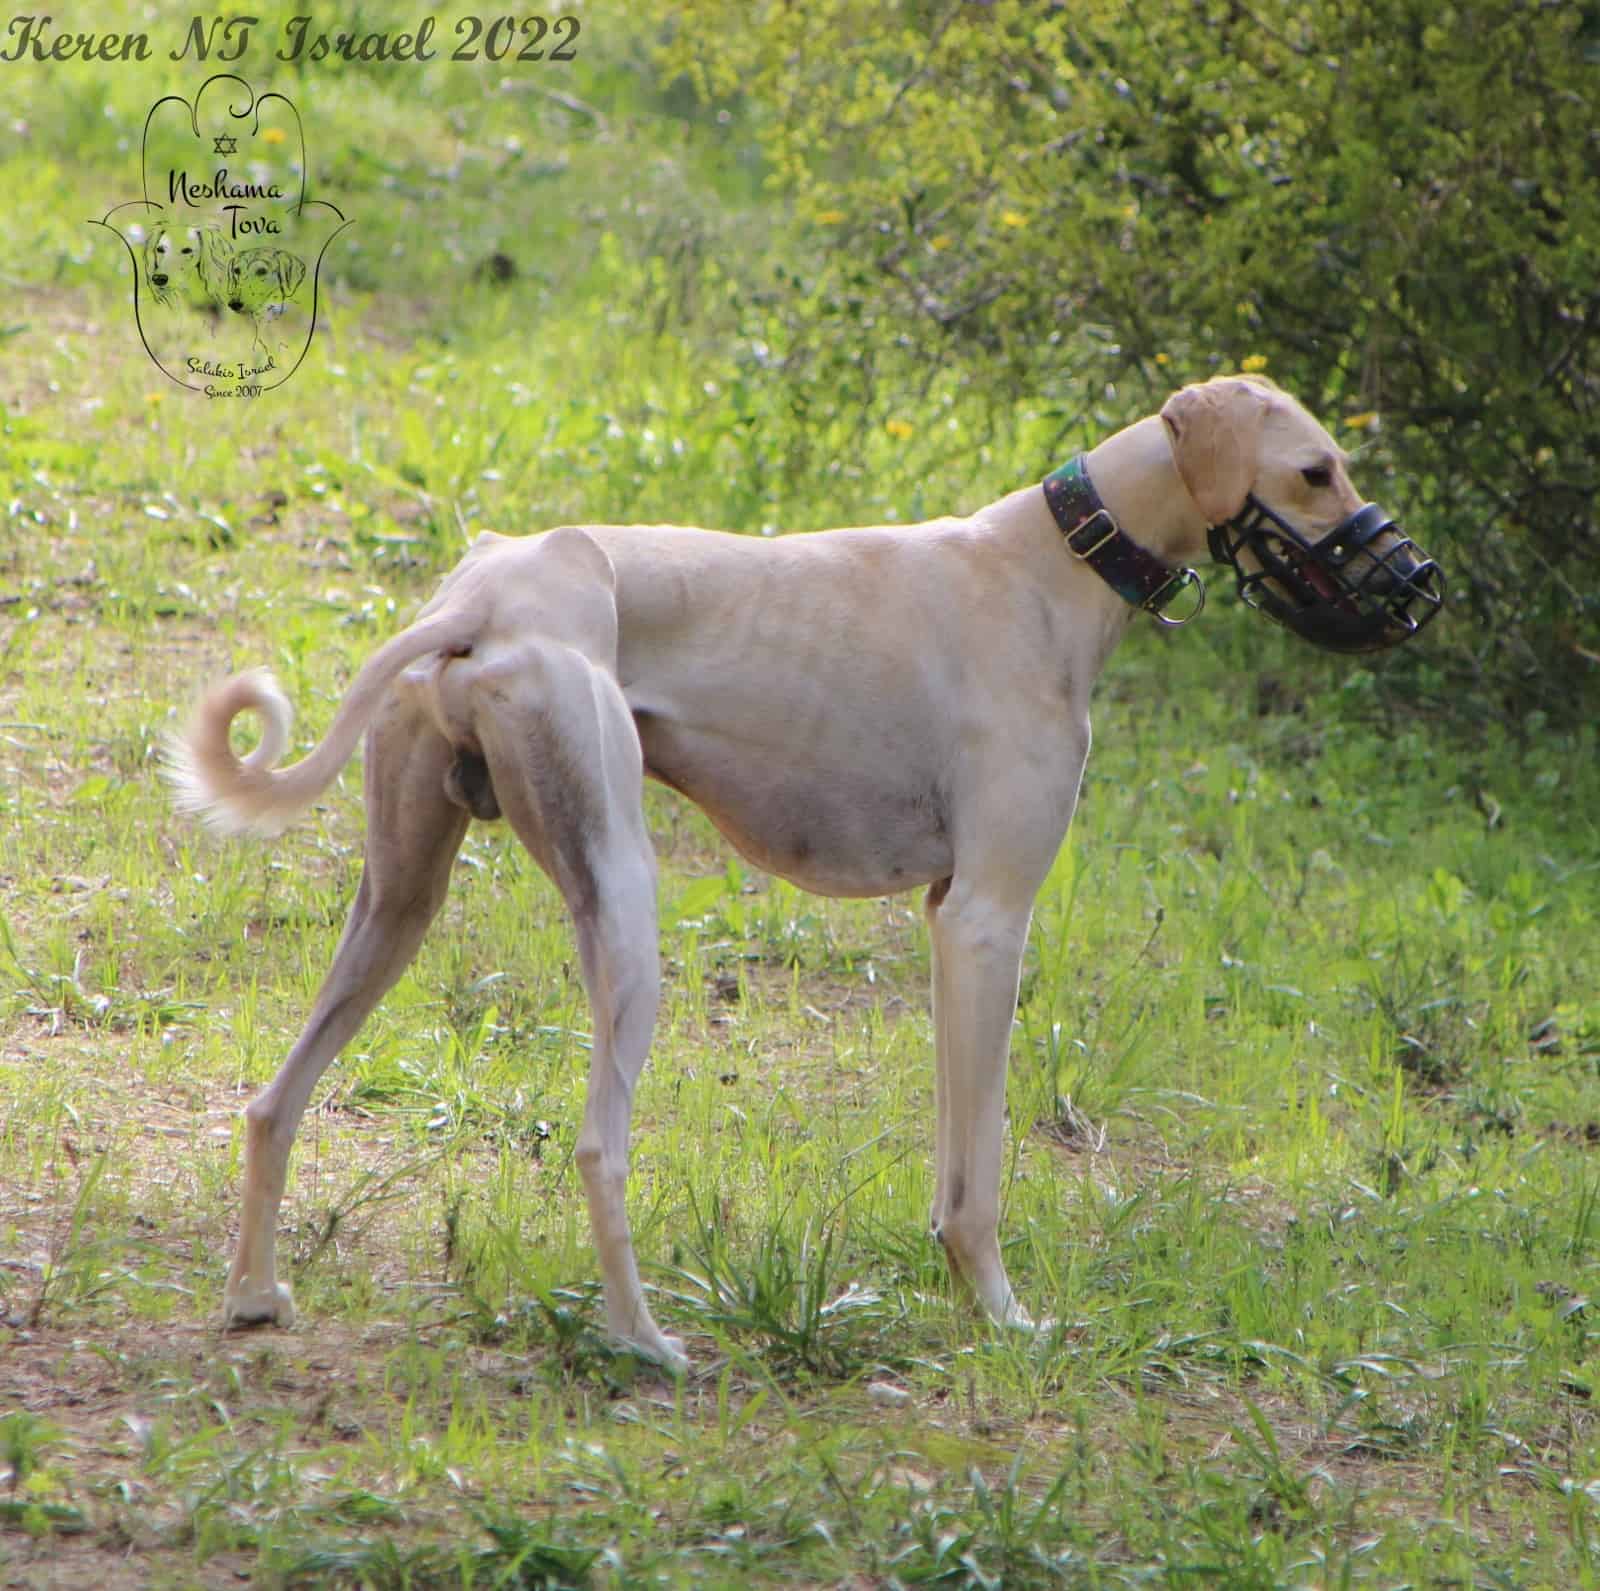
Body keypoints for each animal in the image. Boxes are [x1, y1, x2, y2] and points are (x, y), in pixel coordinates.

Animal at [172, 369, 1401, 1363]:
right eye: (1315, 471)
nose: (1415, 578)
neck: (1046, 563)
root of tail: (486, 595)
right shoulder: (989, 918)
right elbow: (982, 1181)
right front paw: (1003, 1317)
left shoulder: (947, 921)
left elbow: (953, 1162)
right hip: (624, 911)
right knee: (598, 1145)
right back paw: (643, 1342)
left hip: (400, 902)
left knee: (273, 1104)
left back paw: (253, 1295)